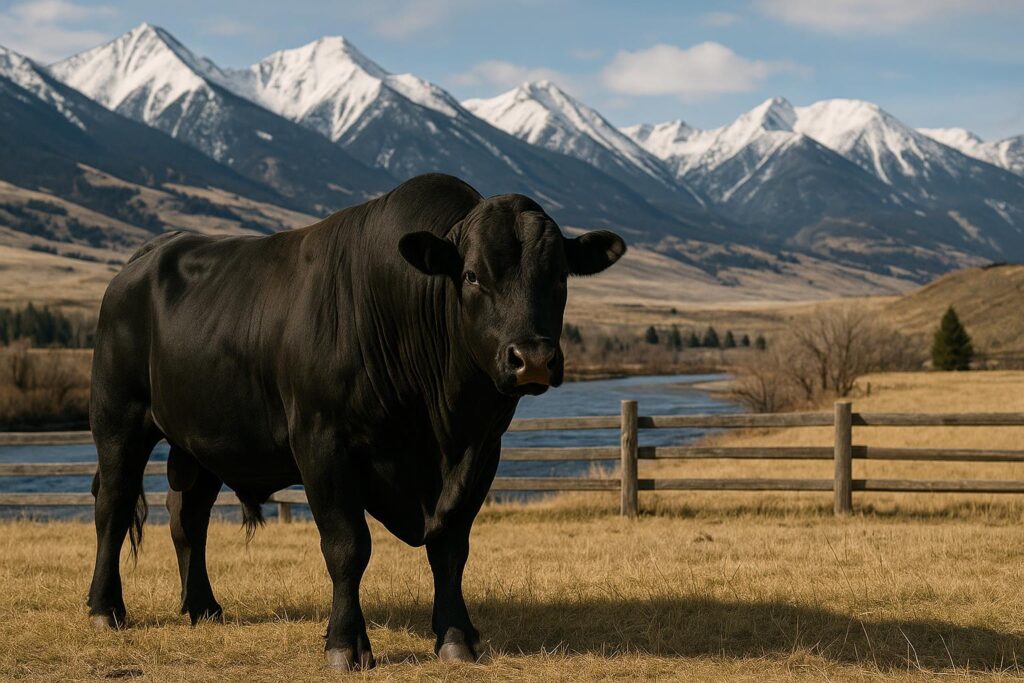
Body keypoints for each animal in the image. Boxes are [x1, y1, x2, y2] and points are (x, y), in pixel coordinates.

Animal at [86, 173, 625, 670]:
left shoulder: (481, 450)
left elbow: (451, 548)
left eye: (561, 277)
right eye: (472, 275)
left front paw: (456, 638)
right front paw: (346, 644)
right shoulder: (323, 444)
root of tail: (149, 254)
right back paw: (105, 608)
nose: (531, 358)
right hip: (118, 419)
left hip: (200, 441)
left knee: (188, 518)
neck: (438, 425)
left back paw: (203, 607)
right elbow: (347, 546)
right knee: (114, 506)